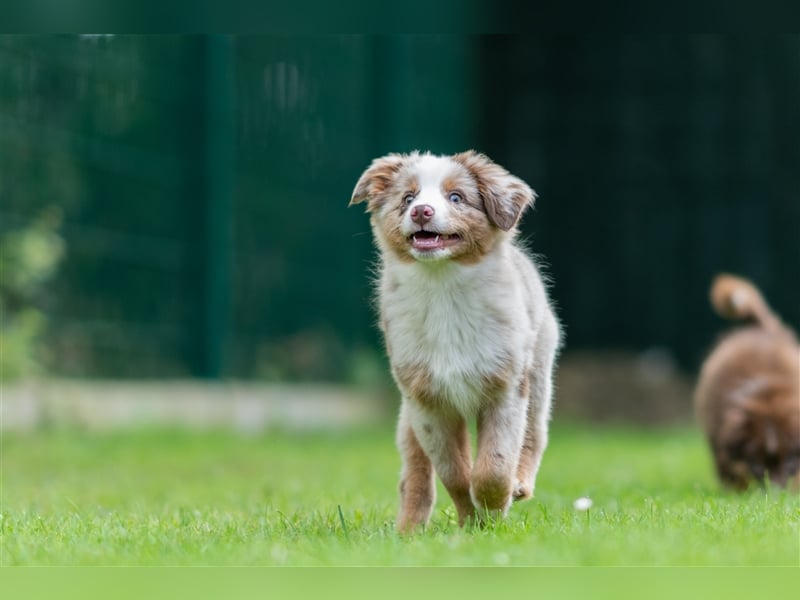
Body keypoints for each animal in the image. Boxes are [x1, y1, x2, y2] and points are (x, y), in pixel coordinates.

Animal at [350, 152, 564, 532]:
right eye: (408, 198)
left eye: (456, 198)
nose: (421, 211)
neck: (443, 285)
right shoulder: (426, 400)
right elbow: (454, 474)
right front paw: (471, 520)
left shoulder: (505, 387)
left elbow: (494, 465)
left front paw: (494, 511)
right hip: (408, 417)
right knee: (415, 474)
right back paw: (408, 530)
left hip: (538, 370)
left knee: (534, 433)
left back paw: (521, 483)